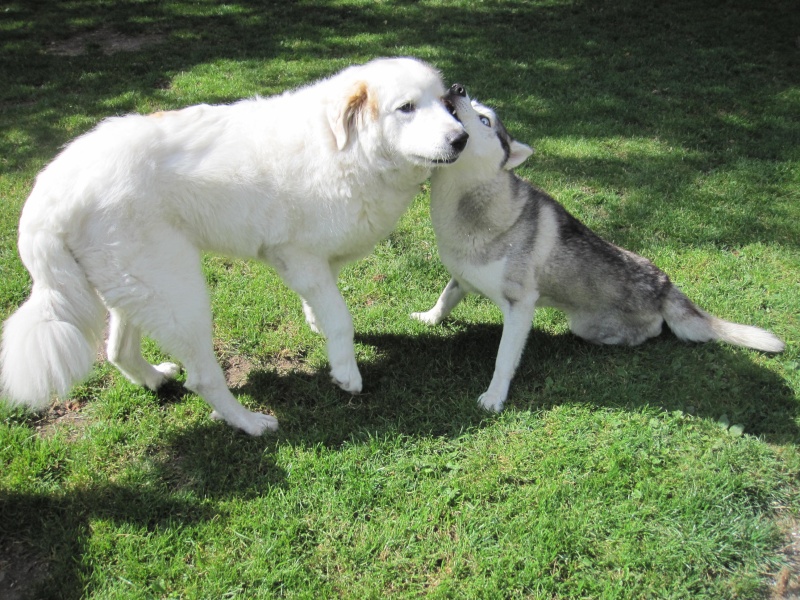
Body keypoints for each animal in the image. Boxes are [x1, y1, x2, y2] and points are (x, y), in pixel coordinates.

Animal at [0, 56, 466, 434]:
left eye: (445, 101)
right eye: (406, 108)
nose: (460, 138)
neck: (346, 148)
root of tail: (50, 191)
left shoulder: (316, 261)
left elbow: (321, 306)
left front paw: (315, 325)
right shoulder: (298, 256)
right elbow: (340, 319)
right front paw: (345, 372)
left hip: (137, 288)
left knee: (117, 351)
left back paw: (156, 379)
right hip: (179, 293)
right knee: (203, 378)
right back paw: (250, 423)